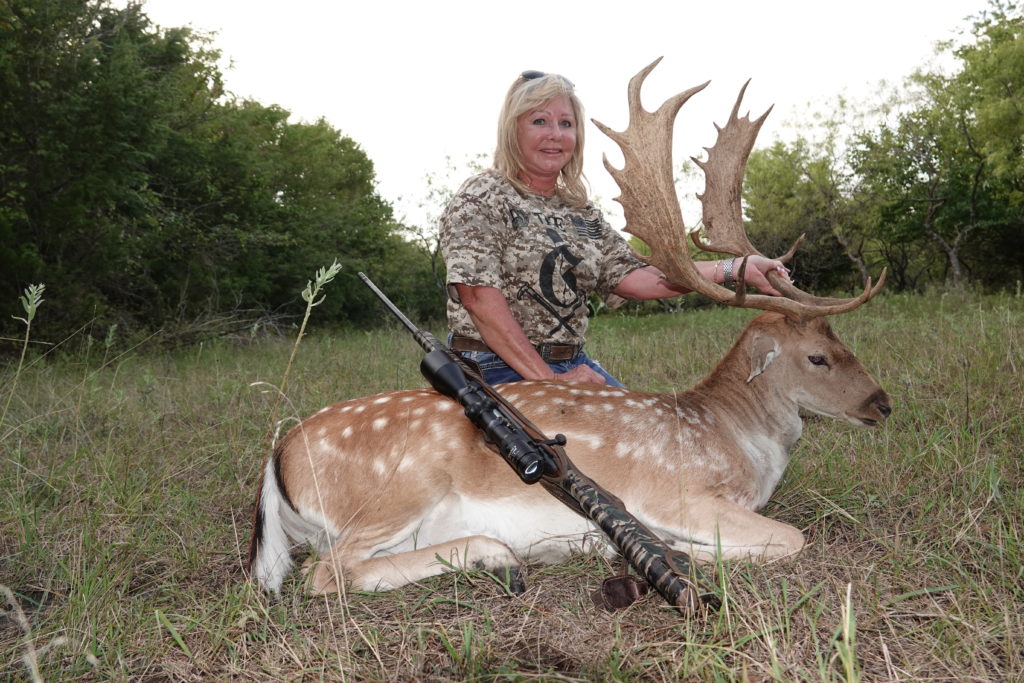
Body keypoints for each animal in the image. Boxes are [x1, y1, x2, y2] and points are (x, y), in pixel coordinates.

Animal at [248, 58, 891, 597]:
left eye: (841, 343)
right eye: (816, 357)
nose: (882, 404)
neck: (736, 440)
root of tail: (278, 458)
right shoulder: (675, 494)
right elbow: (790, 538)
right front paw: (677, 554)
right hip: (395, 492)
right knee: (326, 574)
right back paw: (506, 553)